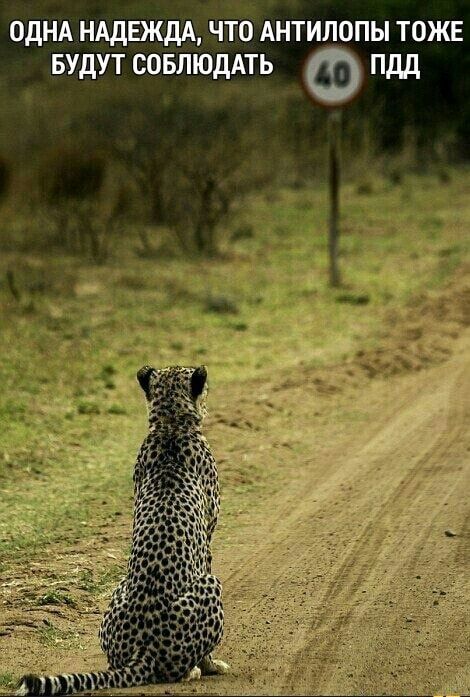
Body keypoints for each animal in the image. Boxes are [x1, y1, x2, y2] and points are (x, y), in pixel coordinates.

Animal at [17, 364, 229, 692]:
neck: (170, 426)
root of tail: (142, 649)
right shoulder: (207, 539)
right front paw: (212, 664)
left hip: (117, 592)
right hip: (211, 584)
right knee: (176, 670)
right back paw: (194, 670)